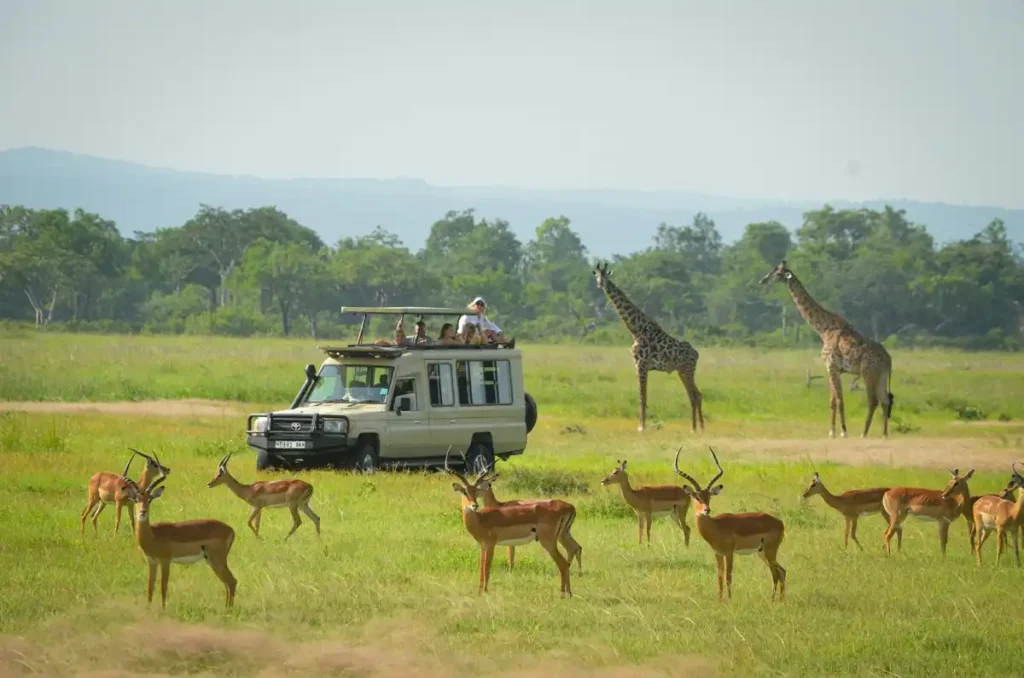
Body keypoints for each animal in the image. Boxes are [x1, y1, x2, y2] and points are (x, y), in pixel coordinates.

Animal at [593, 262, 704, 433]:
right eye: (597, 275)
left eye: (605, 276)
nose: (600, 284)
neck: (636, 329)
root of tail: (696, 354)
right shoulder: (638, 365)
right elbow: (642, 397)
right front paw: (641, 425)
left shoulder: (642, 364)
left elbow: (642, 397)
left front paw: (642, 427)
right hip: (682, 371)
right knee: (696, 394)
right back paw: (700, 427)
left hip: (688, 369)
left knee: (694, 395)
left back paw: (694, 428)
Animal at [760, 260, 894, 438]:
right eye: (773, 270)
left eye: (777, 272)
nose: (762, 280)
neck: (823, 328)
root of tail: (888, 359)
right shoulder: (834, 369)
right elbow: (832, 401)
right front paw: (832, 432)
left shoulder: (831, 365)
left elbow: (839, 400)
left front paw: (844, 432)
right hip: (881, 375)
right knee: (885, 399)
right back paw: (884, 434)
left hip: (868, 372)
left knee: (873, 400)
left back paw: (864, 433)